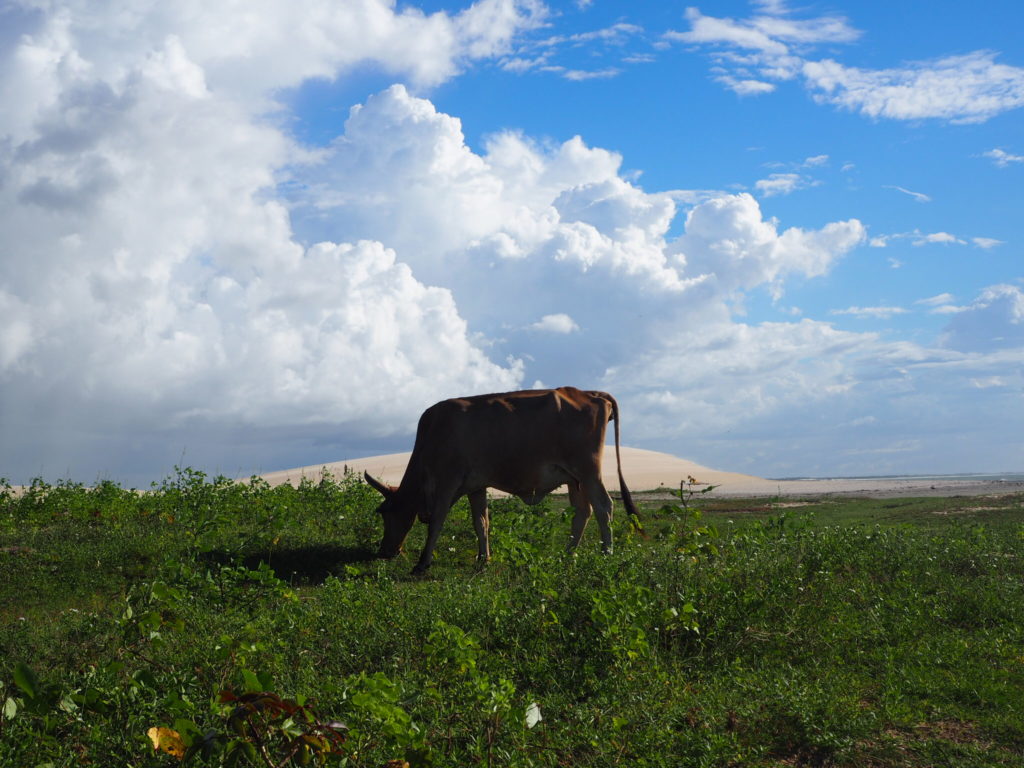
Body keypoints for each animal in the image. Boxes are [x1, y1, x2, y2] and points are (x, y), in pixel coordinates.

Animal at [364, 387, 638, 573]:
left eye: (384, 512)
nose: (384, 552)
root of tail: (588, 393)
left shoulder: (447, 482)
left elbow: (437, 523)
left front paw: (422, 563)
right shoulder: (476, 486)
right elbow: (481, 523)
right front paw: (483, 558)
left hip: (588, 472)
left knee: (604, 507)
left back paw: (606, 553)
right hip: (574, 479)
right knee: (582, 512)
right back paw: (568, 553)